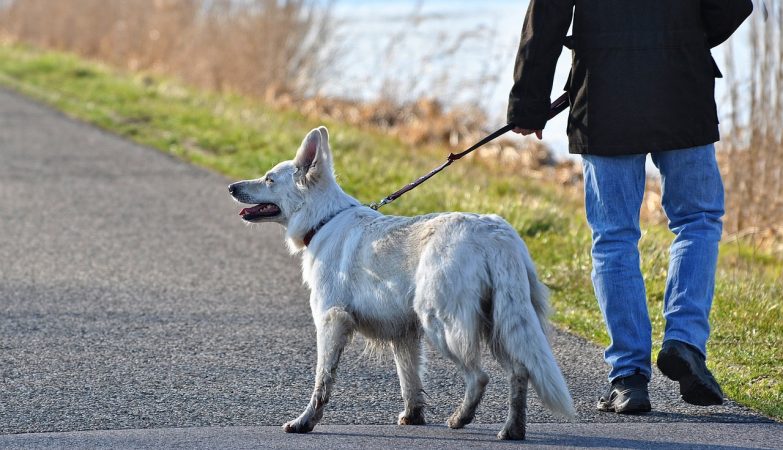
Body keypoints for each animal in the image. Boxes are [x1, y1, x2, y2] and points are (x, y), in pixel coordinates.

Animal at [227, 125, 576, 440]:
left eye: (269, 179)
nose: (231, 187)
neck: (323, 220)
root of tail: (495, 233)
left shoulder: (331, 322)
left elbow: (322, 381)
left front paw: (305, 422)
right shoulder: (404, 334)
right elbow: (410, 380)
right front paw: (413, 417)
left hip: (442, 324)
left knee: (480, 377)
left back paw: (461, 418)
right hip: (500, 324)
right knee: (520, 372)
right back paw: (512, 430)